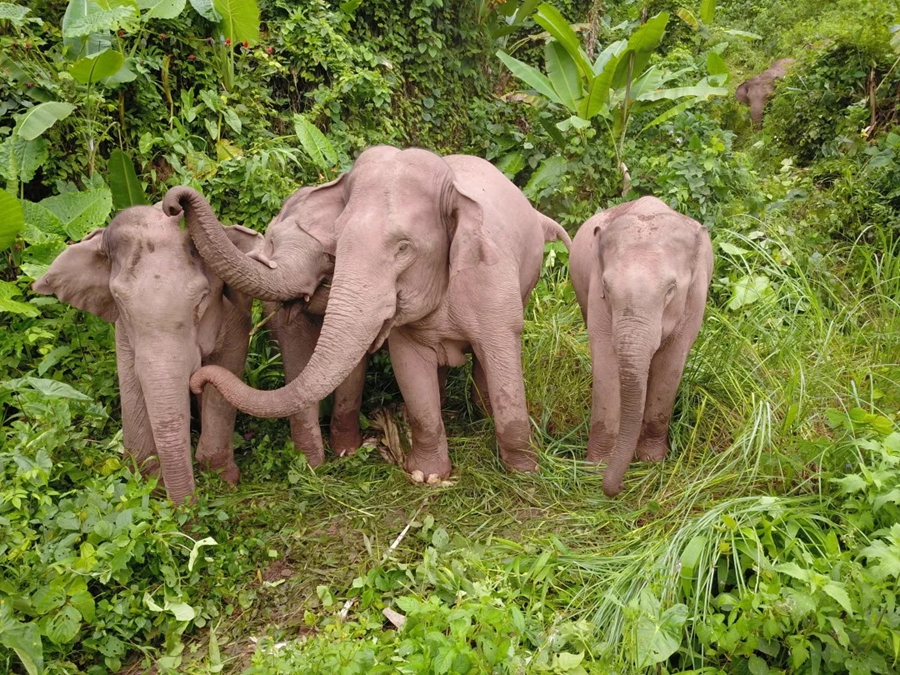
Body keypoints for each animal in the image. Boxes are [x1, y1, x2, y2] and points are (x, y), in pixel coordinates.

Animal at [32, 204, 263, 504]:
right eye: (120, 300)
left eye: (201, 299)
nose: (187, 510)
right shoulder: (123, 331)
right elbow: (132, 380)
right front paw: (148, 486)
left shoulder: (235, 318)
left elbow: (226, 369)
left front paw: (224, 480)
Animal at [162, 184, 368, 467]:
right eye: (271, 243)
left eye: (329, 256)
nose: (174, 205)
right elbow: (296, 351)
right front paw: (310, 464)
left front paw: (345, 452)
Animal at [185, 146, 572, 483]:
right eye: (336, 245)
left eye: (403, 248)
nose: (197, 380)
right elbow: (409, 368)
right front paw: (426, 475)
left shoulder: (492, 280)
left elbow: (502, 355)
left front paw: (524, 472)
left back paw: (483, 414)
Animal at [569, 196, 713, 498]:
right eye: (606, 287)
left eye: (671, 289)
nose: (621, 486)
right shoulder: (596, 296)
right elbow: (606, 362)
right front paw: (596, 468)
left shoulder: (695, 298)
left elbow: (671, 363)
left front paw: (652, 461)